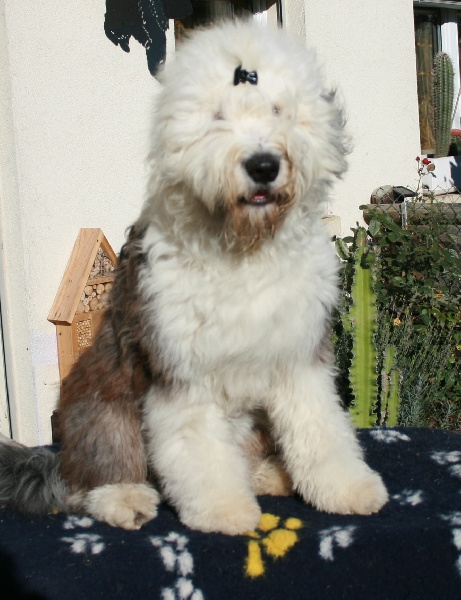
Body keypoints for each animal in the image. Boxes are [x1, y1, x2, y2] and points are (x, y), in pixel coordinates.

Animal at [0, 21, 388, 534]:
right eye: (217, 116)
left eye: (279, 110)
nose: (263, 165)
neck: (243, 247)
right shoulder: (180, 371)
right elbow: (200, 450)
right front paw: (224, 511)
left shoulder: (298, 358)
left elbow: (320, 428)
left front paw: (348, 489)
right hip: (102, 404)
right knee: (93, 475)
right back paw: (123, 498)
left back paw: (269, 474)